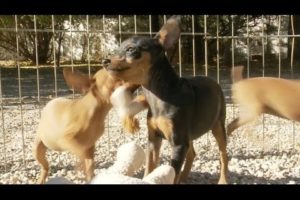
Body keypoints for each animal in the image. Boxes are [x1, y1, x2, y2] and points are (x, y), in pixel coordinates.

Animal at [105, 16, 227, 184]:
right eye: (118, 49)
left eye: (131, 49)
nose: (105, 61)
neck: (158, 96)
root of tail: (215, 82)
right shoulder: (154, 139)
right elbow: (150, 167)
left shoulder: (178, 143)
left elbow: (172, 172)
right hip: (188, 134)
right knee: (192, 152)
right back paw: (184, 177)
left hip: (218, 126)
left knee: (223, 155)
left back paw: (223, 179)